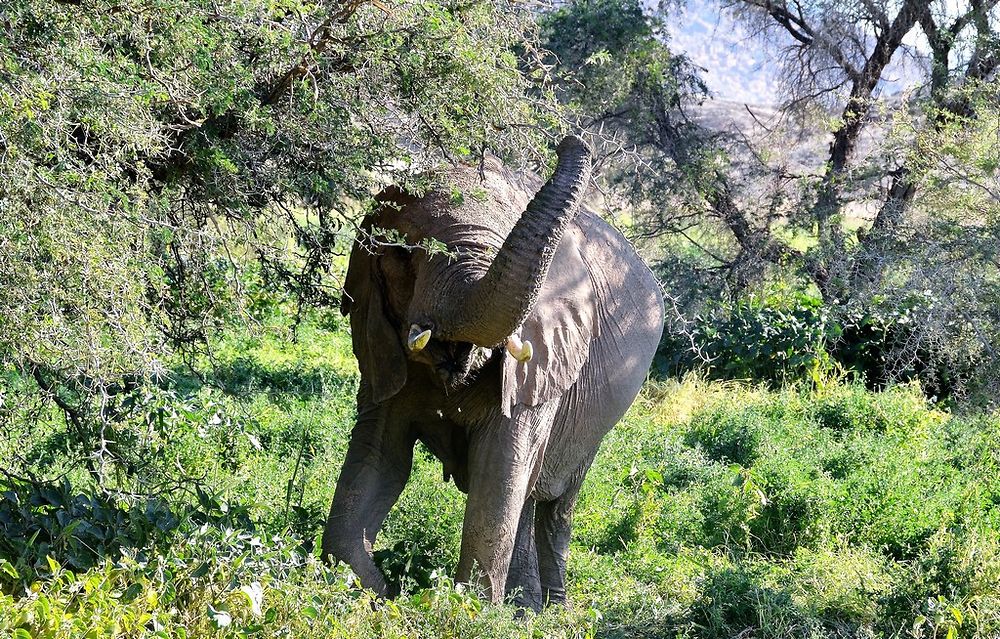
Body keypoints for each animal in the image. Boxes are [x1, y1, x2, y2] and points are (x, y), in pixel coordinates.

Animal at [320, 135, 664, 608]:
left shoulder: (544, 359)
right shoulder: (377, 343)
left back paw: (550, 609)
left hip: (596, 421)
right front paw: (377, 593)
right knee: (528, 495)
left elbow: (499, 467)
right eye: (406, 254)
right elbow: (380, 457)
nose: (569, 141)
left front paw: (464, 609)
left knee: (555, 501)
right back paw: (525, 607)